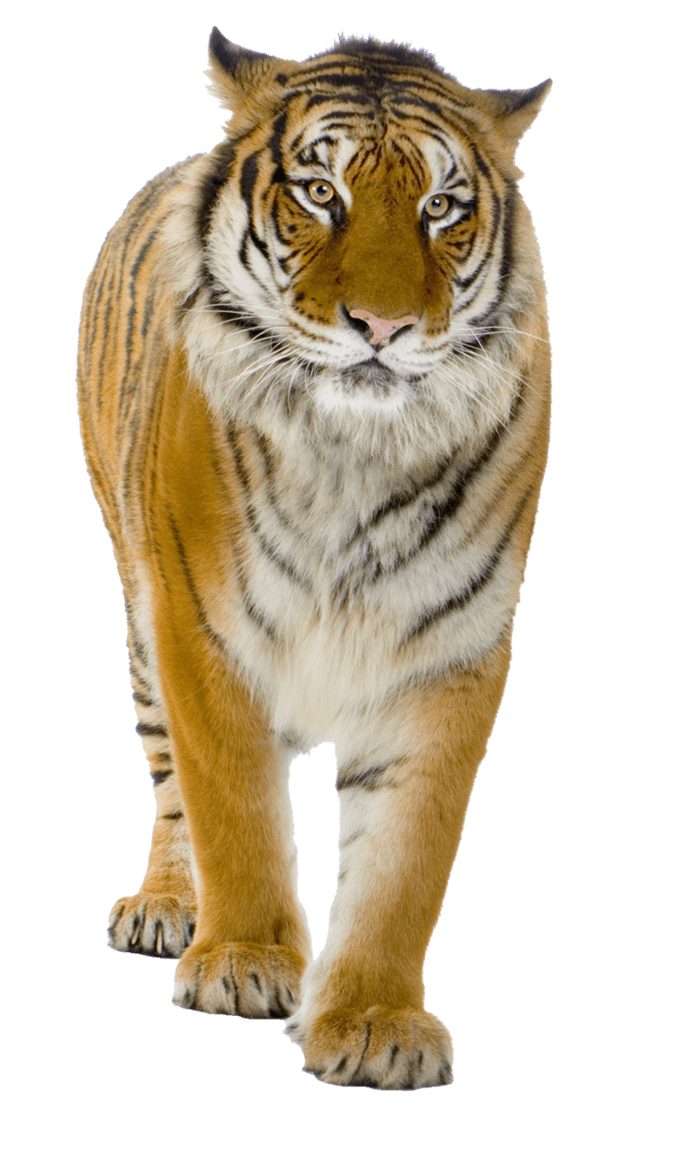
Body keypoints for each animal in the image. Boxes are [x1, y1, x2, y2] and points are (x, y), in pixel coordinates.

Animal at [76, 26, 552, 1090]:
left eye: (441, 206)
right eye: (321, 192)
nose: (382, 327)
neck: (353, 453)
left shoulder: (448, 651)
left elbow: (405, 861)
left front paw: (374, 1019)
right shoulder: (203, 626)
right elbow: (233, 809)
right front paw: (245, 963)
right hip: (138, 614)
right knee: (171, 788)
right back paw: (167, 907)